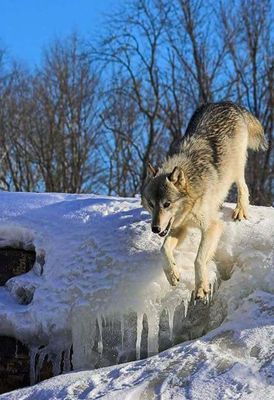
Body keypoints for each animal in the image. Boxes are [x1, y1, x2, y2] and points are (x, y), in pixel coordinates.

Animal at [142, 101, 266, 298]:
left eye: (167, 204)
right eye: (151, 204)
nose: (155, 229)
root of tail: (226, 103)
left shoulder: (212, 227)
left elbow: (198, 259)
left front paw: (201, 287)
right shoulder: (179, 228)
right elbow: (163, 249)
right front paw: (172, 274)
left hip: (236, 167)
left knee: (243, 186)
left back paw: (240, 210)